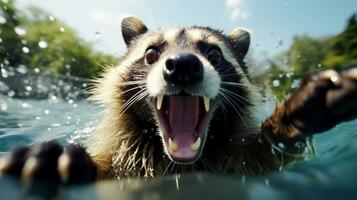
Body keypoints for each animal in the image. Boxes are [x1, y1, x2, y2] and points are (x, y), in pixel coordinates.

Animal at [0, 17, 356, 184]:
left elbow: (269, 157)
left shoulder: (240, 162)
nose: (183, 65)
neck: (179, 164)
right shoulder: (121, 160)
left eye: (214, 54)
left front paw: (290, 119)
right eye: (151, 53)